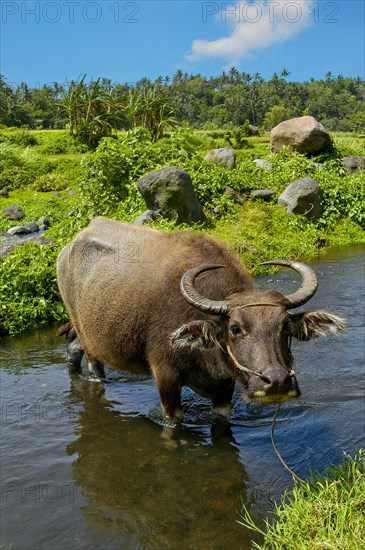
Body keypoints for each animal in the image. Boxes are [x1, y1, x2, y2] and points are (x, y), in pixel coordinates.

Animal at [55, 218, 342, 420]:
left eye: (284, 327)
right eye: (235, 328)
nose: (277, 382)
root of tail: (71, 245)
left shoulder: (224, 390)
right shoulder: (166, 380)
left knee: (72, 345)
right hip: (89, 339)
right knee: (92, 364)